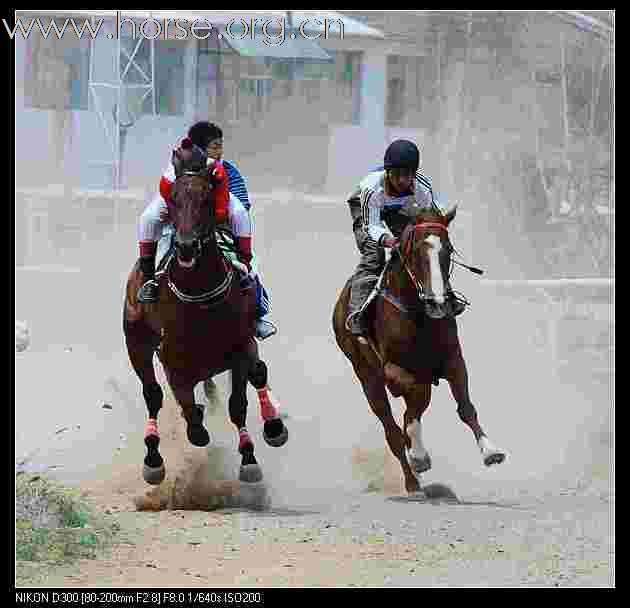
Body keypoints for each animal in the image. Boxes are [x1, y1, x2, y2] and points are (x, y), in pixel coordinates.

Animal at [123, 154, 288, 486]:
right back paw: (153, 458)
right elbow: (192, 421)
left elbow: (238, 404)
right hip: (136, 342)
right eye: (173, 199)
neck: (200, 298)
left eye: (206, 199)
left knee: (256, 374)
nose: (186, 246)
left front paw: (250, 457)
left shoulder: (240, 348)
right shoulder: (173, 361)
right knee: (152, 394)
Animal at [334, 202, 506, 496]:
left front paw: (491, 451)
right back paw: (412, 480)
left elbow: (465, 406)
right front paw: (419, 456)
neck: (418, 315)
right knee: (391, 428)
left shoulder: (453, 360)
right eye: (416, 252)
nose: (438, 302)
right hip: (366, 376)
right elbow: (414, 402)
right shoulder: (394, 369)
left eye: (448, 249)